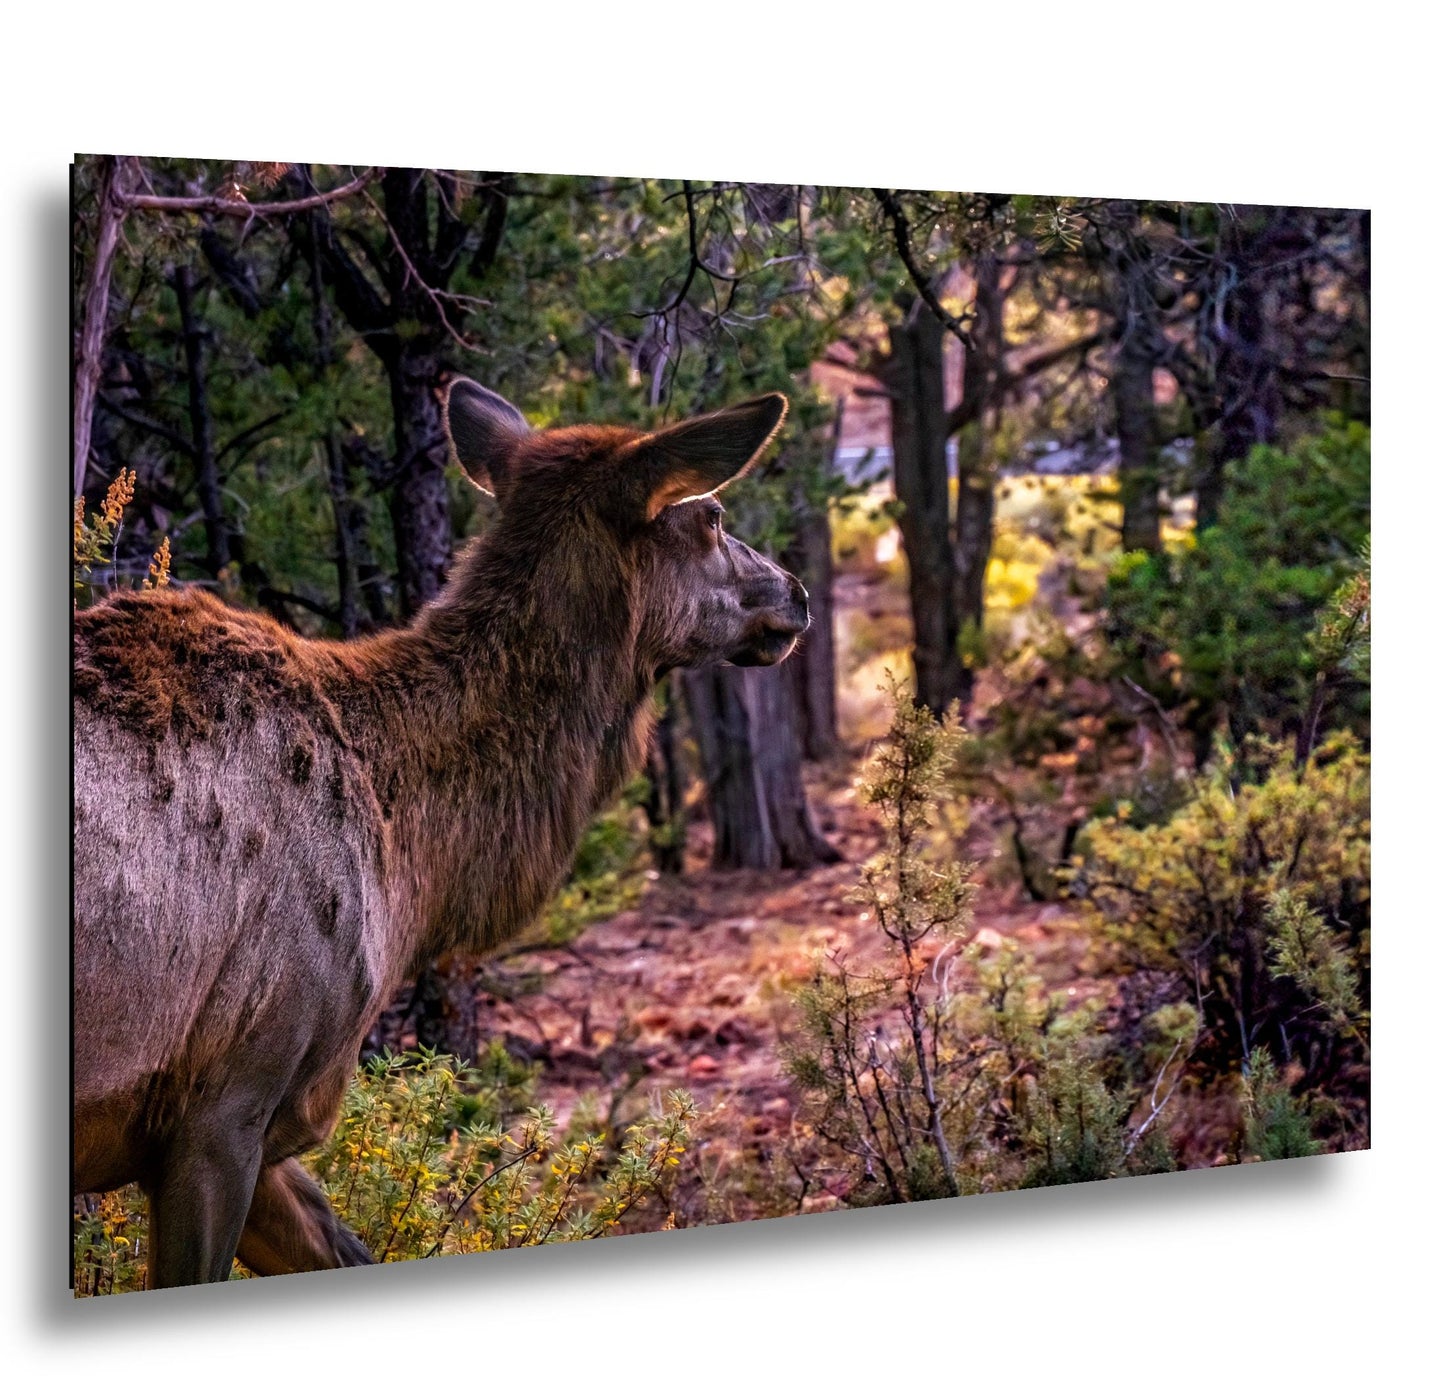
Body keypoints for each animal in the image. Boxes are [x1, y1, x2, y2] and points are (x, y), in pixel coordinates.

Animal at [72, 381, 807, 1288]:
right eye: (709, 516)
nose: (794, 592)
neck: (413, 868)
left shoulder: (251, 1127)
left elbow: (350, 1249)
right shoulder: (222, 1103)